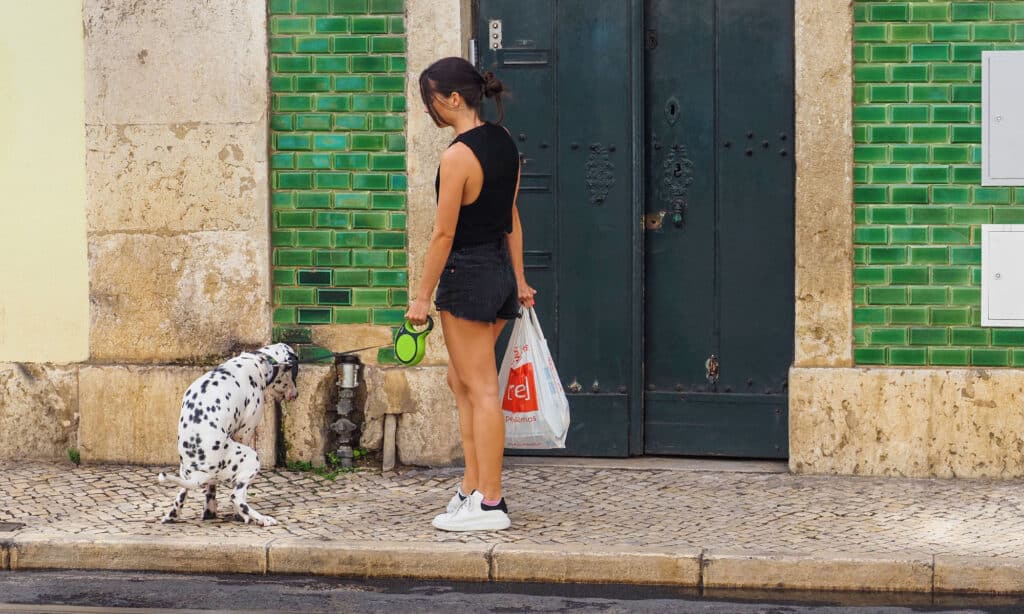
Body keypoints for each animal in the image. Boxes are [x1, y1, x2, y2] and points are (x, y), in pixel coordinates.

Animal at [155, 343, 299, 523]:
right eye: (295, 373)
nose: (296, 394)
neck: (259, 362)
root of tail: (199, 472)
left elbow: (209, 489)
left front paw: (209, 509)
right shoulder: (244, 433)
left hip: (184, 471)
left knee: (183, 491)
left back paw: (173, 514)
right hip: (251, 457)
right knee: (236, 497)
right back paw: (259, 518)